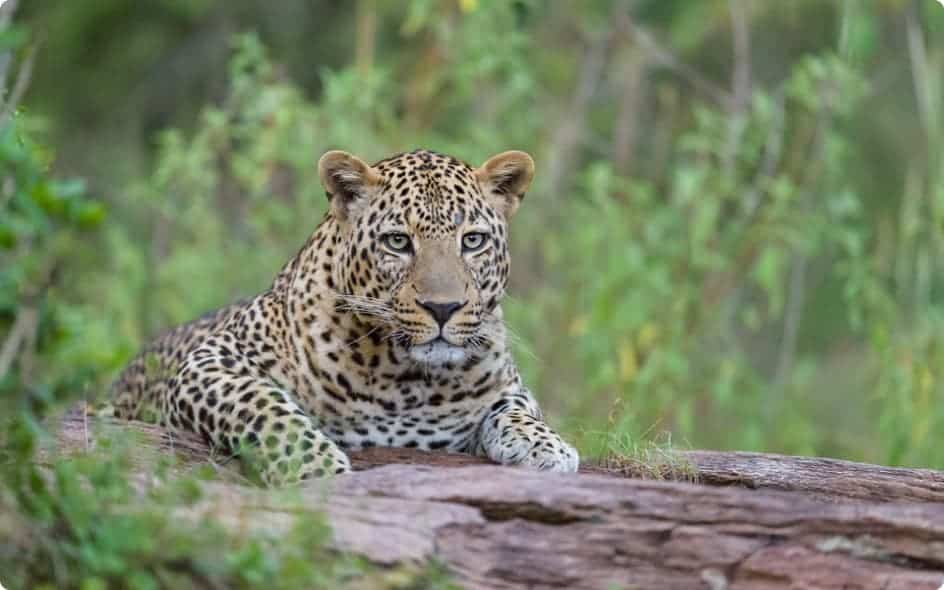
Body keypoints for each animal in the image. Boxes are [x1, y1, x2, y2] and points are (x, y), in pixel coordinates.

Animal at [108, 148, 579, 486]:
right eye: (397, 242)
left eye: (473, 241)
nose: (443, 308)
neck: (404, 379)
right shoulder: (211, 363)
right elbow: (263, 406)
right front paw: (312, 465)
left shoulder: (506, 384)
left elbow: (517, 408)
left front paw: (546, 447)